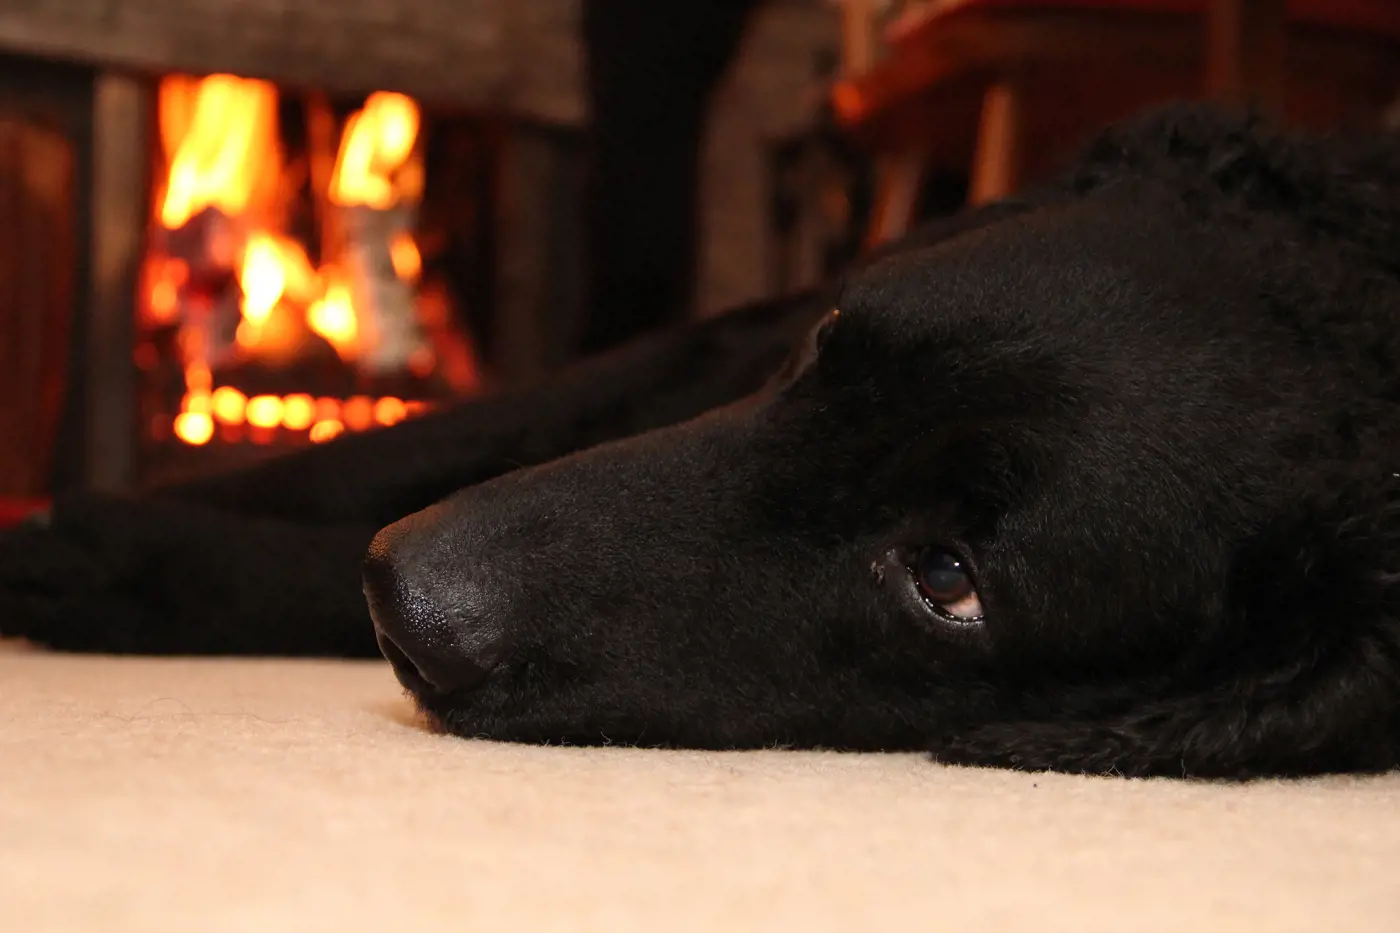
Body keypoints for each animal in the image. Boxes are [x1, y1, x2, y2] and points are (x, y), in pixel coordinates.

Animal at [8, 107, 1400, 778]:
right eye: (824, 350)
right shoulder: (712, 345)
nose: (407, 598)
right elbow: (407, 443)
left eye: (945, 578)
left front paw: (114, 563)